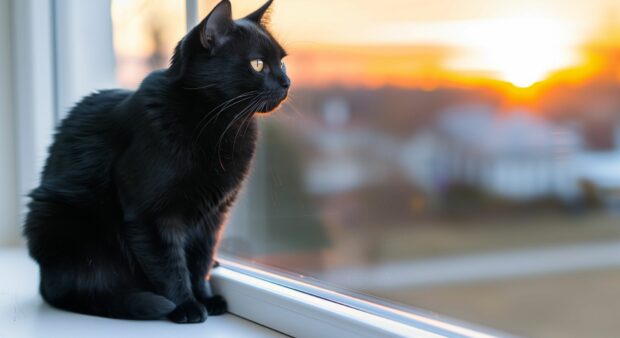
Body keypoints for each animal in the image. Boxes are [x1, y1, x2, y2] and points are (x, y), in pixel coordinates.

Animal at [21, 0, 288, 324]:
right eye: (258, 64)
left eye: (282, 62)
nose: (287, 82)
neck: (220, 126)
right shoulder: (151, 216)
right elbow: (170, 266)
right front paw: (186, 305)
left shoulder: (213, 216)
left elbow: (199, 261)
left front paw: (205, 297)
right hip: (55, 219)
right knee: (76, 287)